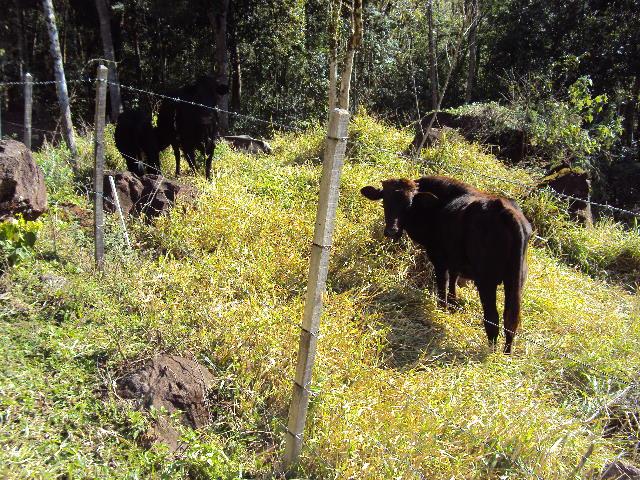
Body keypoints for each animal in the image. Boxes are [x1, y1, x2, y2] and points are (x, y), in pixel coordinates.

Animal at [362, 176, 532, 352]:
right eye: (384, 201)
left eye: (408, 204)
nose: (391, 231)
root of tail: (506, 212)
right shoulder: (455, 260)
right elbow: (453, 282)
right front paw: (452, 306)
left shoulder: (439, 259)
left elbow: (443, 285)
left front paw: (442, 308)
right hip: (516, 281)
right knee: (511, 320)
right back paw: (506, 353)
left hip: (486, 281)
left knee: (493, 319)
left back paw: (491, 352)